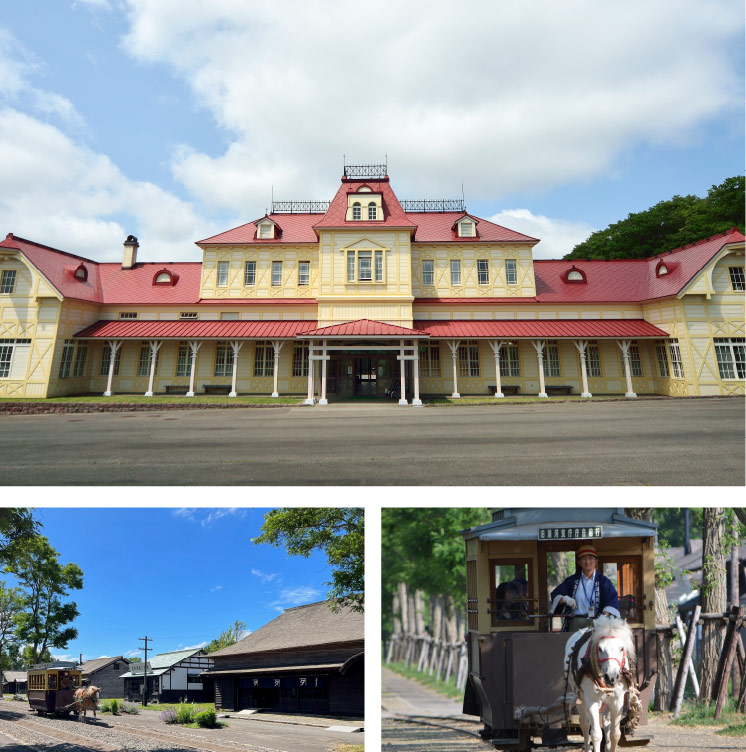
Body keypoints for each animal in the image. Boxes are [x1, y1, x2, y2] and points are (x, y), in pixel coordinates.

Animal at [564, 616, 632, 752]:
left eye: (621, 648)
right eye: (600, 648)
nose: (611, 677)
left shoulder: (617, 701)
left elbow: (615, 734)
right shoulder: (592, 701)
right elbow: (595, 734)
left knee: (605, 721)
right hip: (580, 697)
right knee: (585, 724)